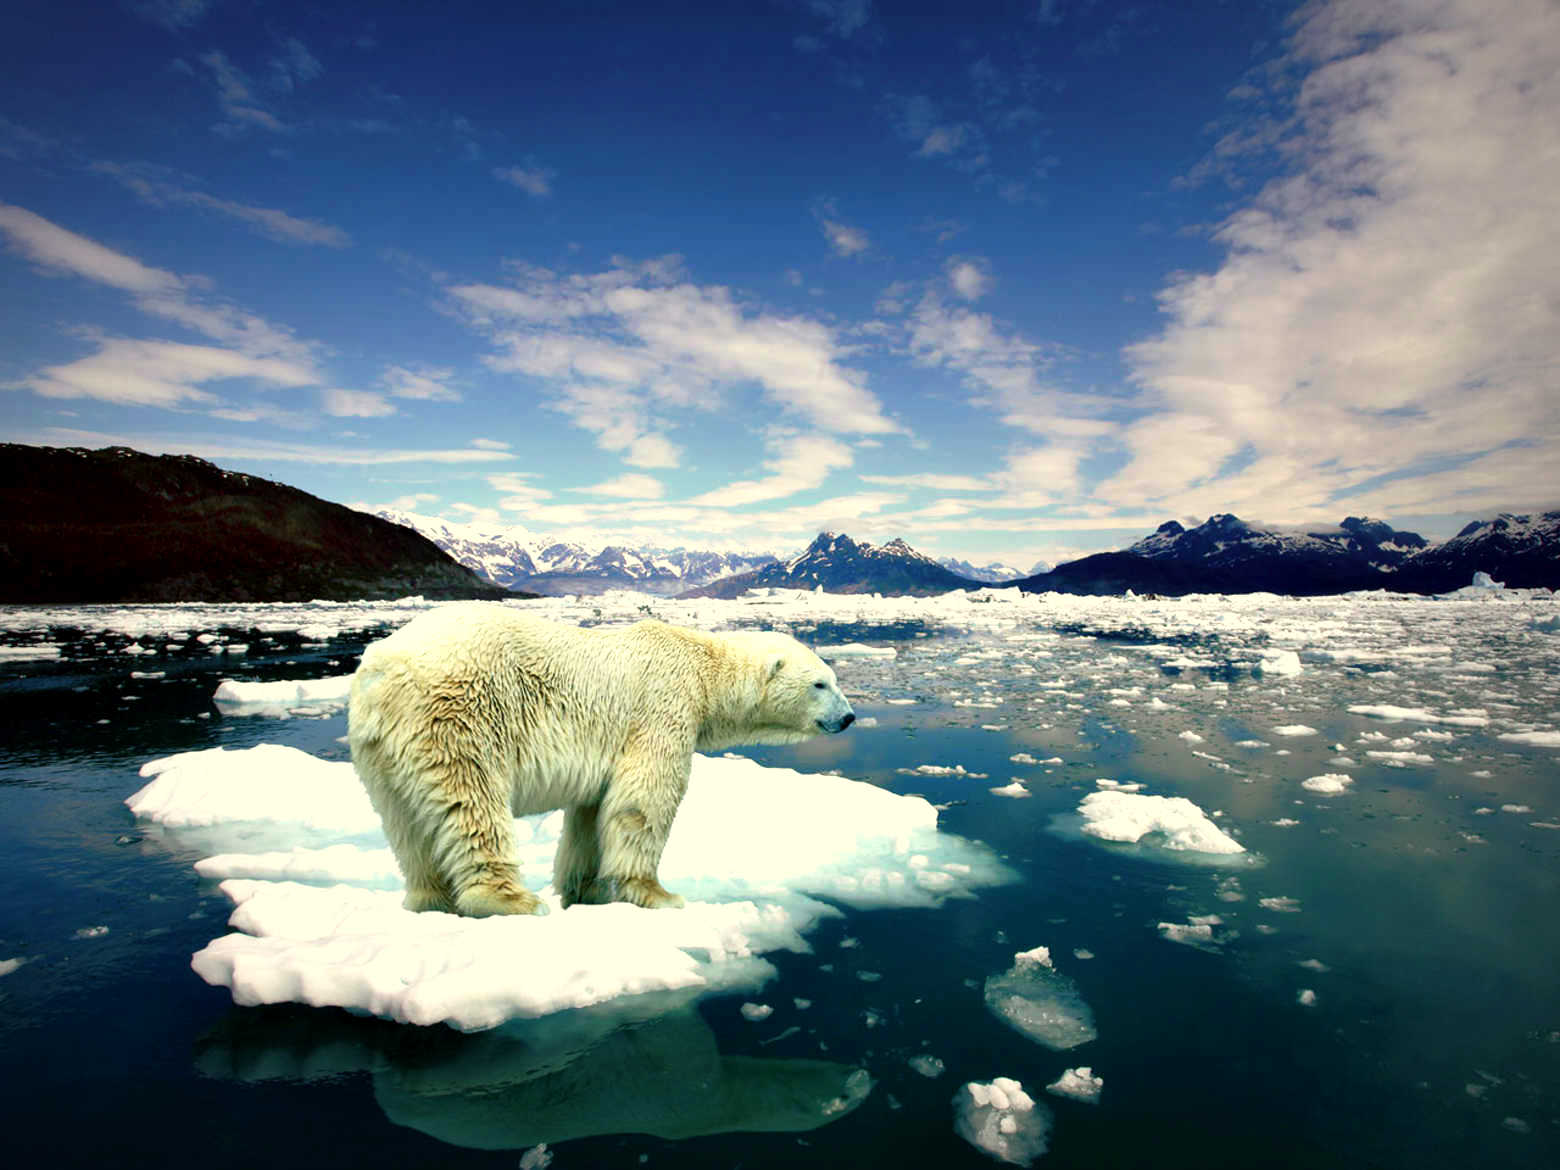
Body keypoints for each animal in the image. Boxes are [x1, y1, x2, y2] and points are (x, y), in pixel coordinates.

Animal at [347, 608, 854, 923]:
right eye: (821, 683)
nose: (848, 717)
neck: (702, 666)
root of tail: (381, 670)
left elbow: (592, 814)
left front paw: (585, 890)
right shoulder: (662, 707)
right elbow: (644, 799)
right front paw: (657, 895)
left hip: (379, 750)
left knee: (406, 824)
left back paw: (429, 900)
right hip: (458, 714)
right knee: (472, 802)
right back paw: (511, 900)